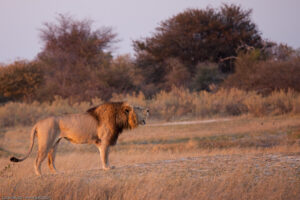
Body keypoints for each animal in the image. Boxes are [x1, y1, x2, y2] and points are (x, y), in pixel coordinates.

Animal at [9, 102, 149, 176]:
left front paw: (109, 166)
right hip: (46, 143)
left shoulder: (103, 142)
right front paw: (107, 168)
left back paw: (57, 172)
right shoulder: (104, 141)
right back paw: (40, 174)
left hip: (55, 144)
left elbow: (105, 155)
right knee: (37, 160)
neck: (118, 117)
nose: (148, 110)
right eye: (139, 108)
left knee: (50, 160)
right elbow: (104, 156)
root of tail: (37, 123)